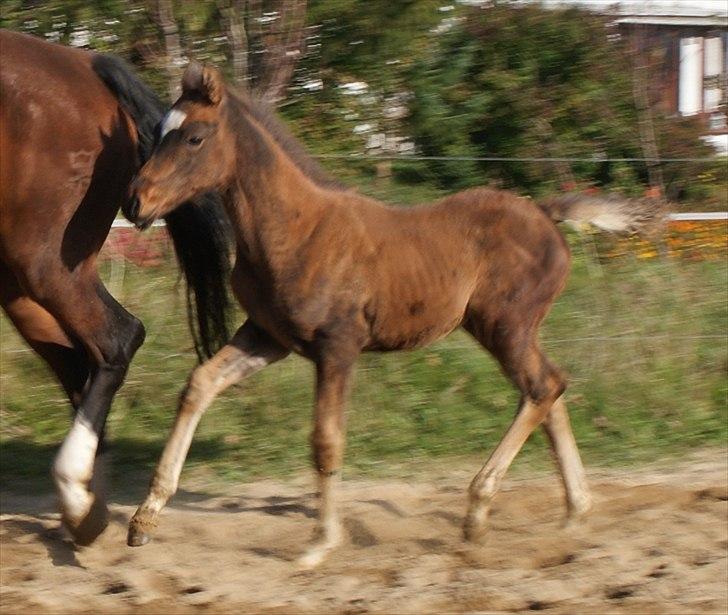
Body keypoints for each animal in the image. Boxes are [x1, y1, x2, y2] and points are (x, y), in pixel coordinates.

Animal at [0, 32, 230, 544]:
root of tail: (86, 64)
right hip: (17, 282)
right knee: (79, 359)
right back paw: (88, 506)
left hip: (46, 263)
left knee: (116, 339)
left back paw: (77, 492)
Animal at [125, 62, 660, 568]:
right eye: (158, 132)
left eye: (194, 137)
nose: (135, 202)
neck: (295, 230)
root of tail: (546, 213)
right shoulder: (267, 336)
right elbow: (200, 385)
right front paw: (143, 520)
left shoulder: (338, 348)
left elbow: (326, 441)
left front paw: (320, 543)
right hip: (510, 331)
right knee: (552, 389)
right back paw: (574, 512)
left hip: (505, 327)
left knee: (542, 388)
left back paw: (478, 510)